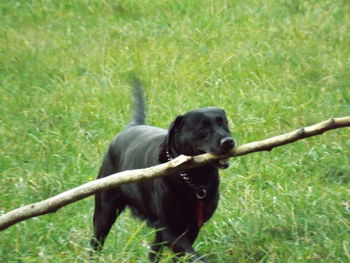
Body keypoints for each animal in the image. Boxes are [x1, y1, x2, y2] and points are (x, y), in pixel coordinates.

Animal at [91, 81, 237, 262]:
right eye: (203, 128)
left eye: (224, 123)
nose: (228, 142)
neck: (193, 179)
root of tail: (131, 127)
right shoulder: (169, 228)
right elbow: (191, 254)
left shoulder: (191, 226)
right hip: (104, 211)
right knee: (96, 241)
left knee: (153, 251)